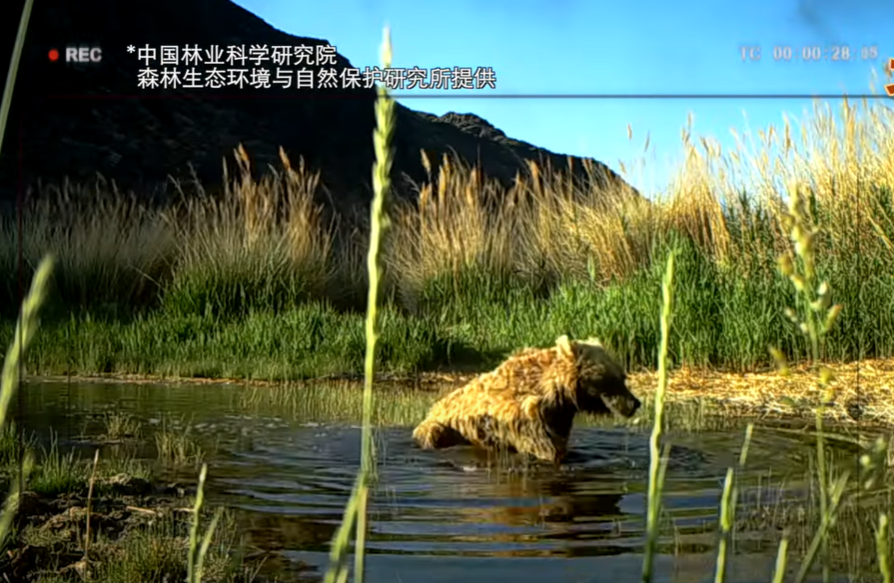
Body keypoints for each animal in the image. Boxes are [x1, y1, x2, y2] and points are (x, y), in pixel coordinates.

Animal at [412, 335, 641, 464]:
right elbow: (546, 450)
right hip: (442, 427)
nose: (635, 403)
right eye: (611, 378)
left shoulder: (559, 416)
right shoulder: (527, 417)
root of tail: (433, 407)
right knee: (432, 433)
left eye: (622, 376)